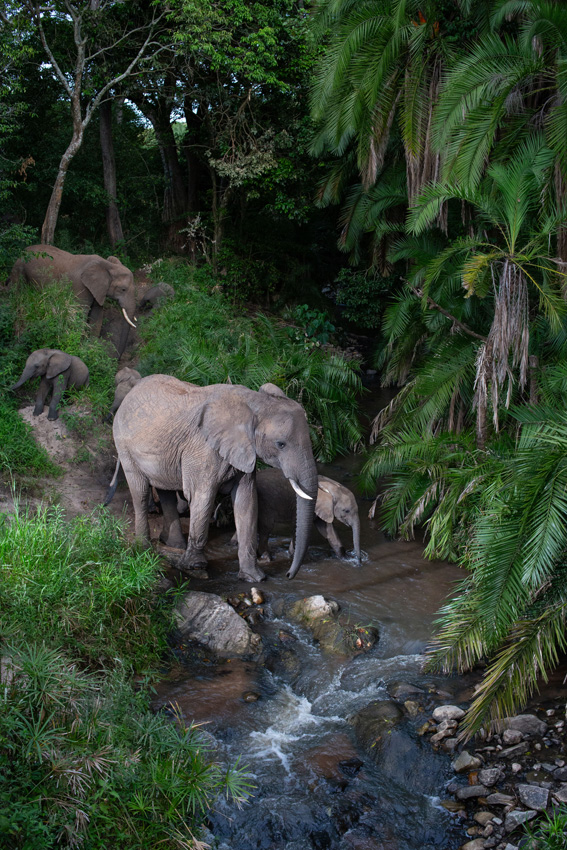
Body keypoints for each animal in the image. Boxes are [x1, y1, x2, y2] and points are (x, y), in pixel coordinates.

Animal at [108, 375, 318, 582]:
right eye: (280, 444)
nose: (289, 575)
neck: (254, 403)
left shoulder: (243, 451)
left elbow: (246, 501)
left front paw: (254, 577)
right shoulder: (203, 449)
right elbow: (203, 497)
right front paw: (195, 567)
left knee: (165, 490)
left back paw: (173, 544)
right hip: (123, 444)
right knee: (140, 492)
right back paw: (143, 548)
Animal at [234, 468, 362, 566]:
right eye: (346, 510)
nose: (358, 562)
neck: (330, 485)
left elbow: (327, 530)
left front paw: (345, 558)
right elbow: (297, 527)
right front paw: (296, 557)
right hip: (263, 502)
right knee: (266, 527)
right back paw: (266, 557)